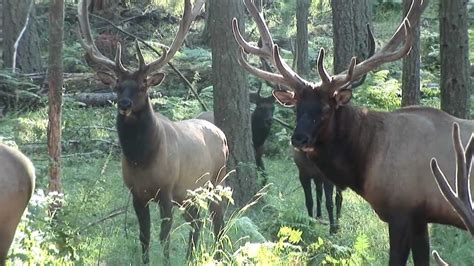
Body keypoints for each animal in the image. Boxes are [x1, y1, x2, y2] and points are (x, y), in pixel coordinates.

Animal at [77, 0, 228, 262]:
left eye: (142, 86)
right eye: (117, 86)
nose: (124, 104)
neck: (142, 159)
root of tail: (221, 133)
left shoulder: (166, 190)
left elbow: (164, 235)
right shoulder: (137, 194)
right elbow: (144, 236)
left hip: (216, 180)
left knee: (217, 220)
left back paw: (217, 256)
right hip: (189, 193)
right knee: (197, 221)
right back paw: (189, 258)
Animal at [232, 0, 474, 264]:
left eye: (325, 108)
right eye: (297, 107)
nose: (298, 138)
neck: (367, 161)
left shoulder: (401, 210)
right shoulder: (420, 217)